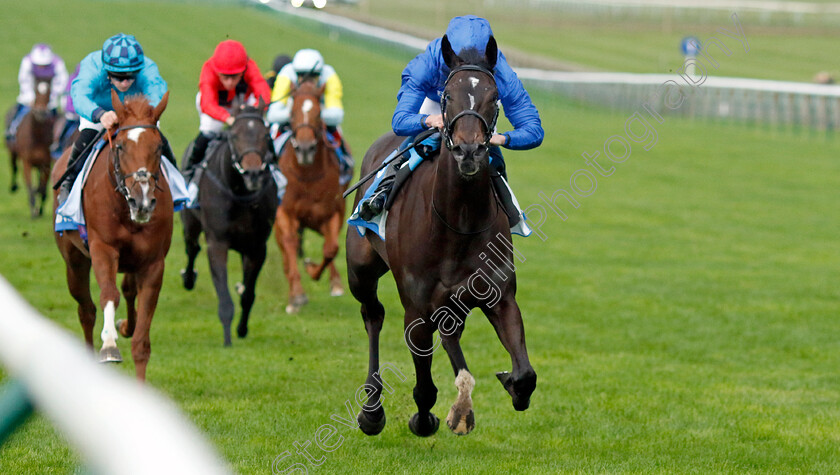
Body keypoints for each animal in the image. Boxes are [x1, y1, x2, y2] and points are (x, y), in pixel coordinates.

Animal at [7, 77, 55, 218]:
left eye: (49, 92)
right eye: (35, 90)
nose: (40, 112)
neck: (37, 136)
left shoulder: (46, 163)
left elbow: (43, 189)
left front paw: (39, 210)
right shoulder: (26, 161)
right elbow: (29, 186)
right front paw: (34, 211)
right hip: (12, 152)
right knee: (14, 167)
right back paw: (13, 186)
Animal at [51, 91, 173, 384]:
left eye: (159, 147)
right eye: (120, 147)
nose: (143, 202)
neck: (124, 208)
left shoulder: (153, 263)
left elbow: (141, 341)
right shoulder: (102, 248)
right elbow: (109, 293)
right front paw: (109, 345)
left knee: (129, 291)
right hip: (74, 262)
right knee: (86, 309)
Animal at [180, 101, 278, 346]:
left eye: (266, 135)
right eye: (234, 135)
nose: (253, 174)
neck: (240, 193)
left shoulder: (257, 246)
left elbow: (249, 295)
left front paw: (242, 329)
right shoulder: (217, 243)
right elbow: (224, 297)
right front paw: (227, 339)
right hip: (190, 223)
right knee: (191, 248)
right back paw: (188, 277)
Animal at [278, 80, 346, 314]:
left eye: (319, 113)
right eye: (291, 112)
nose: (305, 148)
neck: (307, 176)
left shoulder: (332, 213)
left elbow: (331, 249)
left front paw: (313, 270)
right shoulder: (284, 212)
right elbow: (289, 242)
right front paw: (297, 295)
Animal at [346, 36, 540, 438]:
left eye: (494, 97)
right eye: (447, 96)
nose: (469, 150)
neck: (458, 223)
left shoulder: (499, 296)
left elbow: (525, 374)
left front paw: (507, 386)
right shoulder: (417, 310)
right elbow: (424, 385)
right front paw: (427, 419)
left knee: (449, 333)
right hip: (360, 269)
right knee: (373, 314)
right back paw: (372, 410)